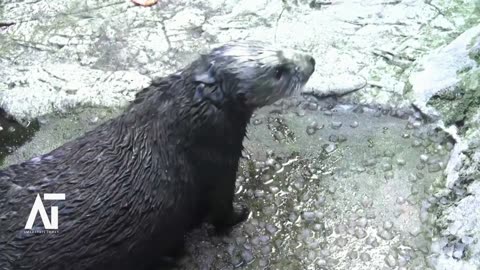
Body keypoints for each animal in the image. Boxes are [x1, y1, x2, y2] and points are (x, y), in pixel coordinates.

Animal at [0, 40, 316, 270]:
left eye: (276, 45)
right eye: (279, 71)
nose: (311, 61)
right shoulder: (220, 164)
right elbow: (221, 210)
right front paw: (242, 213)